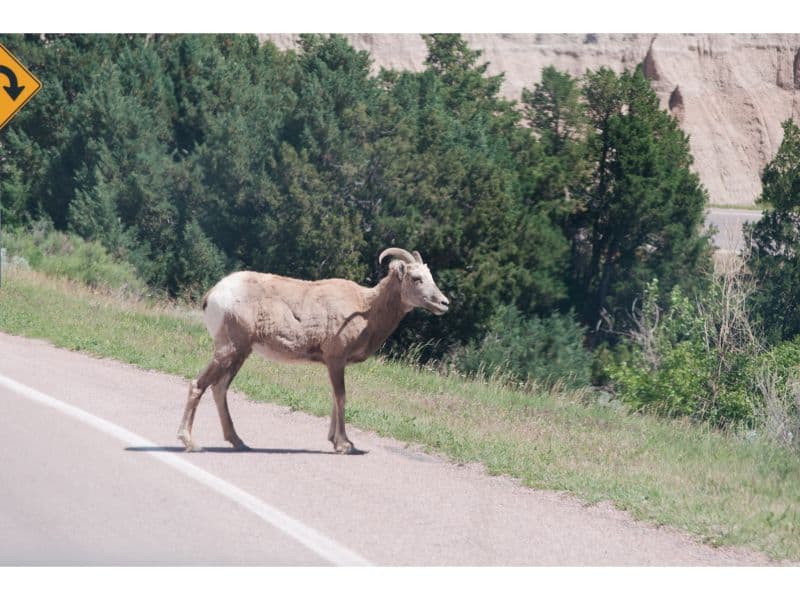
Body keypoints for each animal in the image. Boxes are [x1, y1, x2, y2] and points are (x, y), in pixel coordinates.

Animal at [177, 246, 450, 452]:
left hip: (240, 353)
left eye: (431, 277)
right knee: (198, 385)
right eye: (416, 279)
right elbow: (341, 397)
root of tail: (214, 294)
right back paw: (190, 442)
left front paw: (335, 441)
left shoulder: (333, 363)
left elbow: (334, 397)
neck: (367, 309)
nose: (444, 303)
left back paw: (239, 442)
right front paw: (345, 445)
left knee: (219, 388)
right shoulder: (336, 359)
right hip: (230, 349)